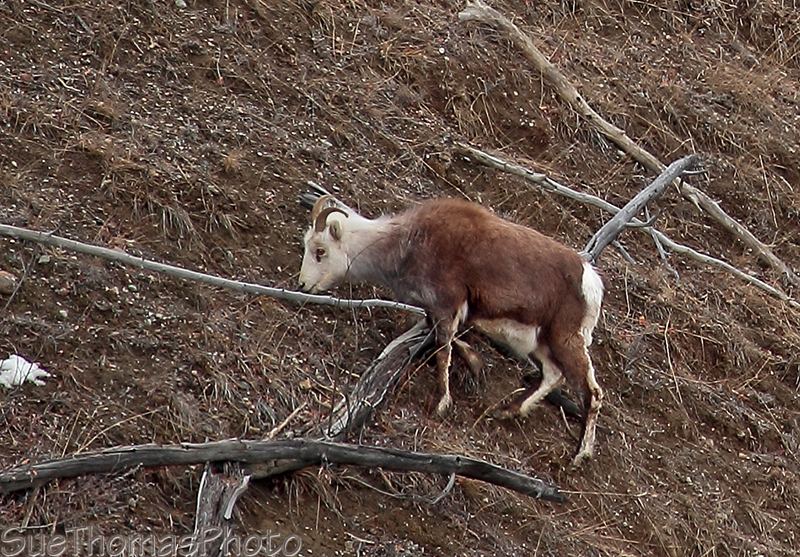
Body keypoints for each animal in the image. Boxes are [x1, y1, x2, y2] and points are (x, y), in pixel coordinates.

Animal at [299, 195, 604, 465]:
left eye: (320, 251)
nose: (303, 284)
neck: (407, 244)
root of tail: (591, 282)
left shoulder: (447, 307)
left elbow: (443, 350)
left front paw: (442, 404)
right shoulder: (440, 312)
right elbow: (448, 340)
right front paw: (475, 365)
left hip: (566, 341)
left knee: (592, 393)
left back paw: (580, 456)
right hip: (540, 345)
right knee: (553, 375)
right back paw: (507, 412)